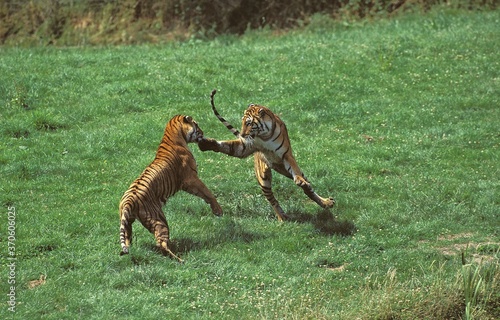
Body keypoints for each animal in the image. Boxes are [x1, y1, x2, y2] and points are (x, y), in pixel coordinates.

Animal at [118, 114, 222, 262]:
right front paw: (218, 210)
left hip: (127, 222)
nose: (203, 133)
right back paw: (180, 259)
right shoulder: (191, 179)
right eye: (197, 125)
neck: (172, 134)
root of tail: (128, 200)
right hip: (159, 219)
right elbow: (207, 193)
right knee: (161, 243)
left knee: (127, 240)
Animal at [197, 89, 334, 221]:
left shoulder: (286, 155)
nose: (242, 135)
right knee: (272, 199)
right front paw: (207, 143)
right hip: (264, 179)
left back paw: (325, 202)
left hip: (286, 170)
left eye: (249, 123)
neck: (264, 135)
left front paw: (300, 181)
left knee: (308, 188)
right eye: (242, 122)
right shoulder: (246, 146)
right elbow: (228, 146)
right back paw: (282, 217)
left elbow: (296, 172)